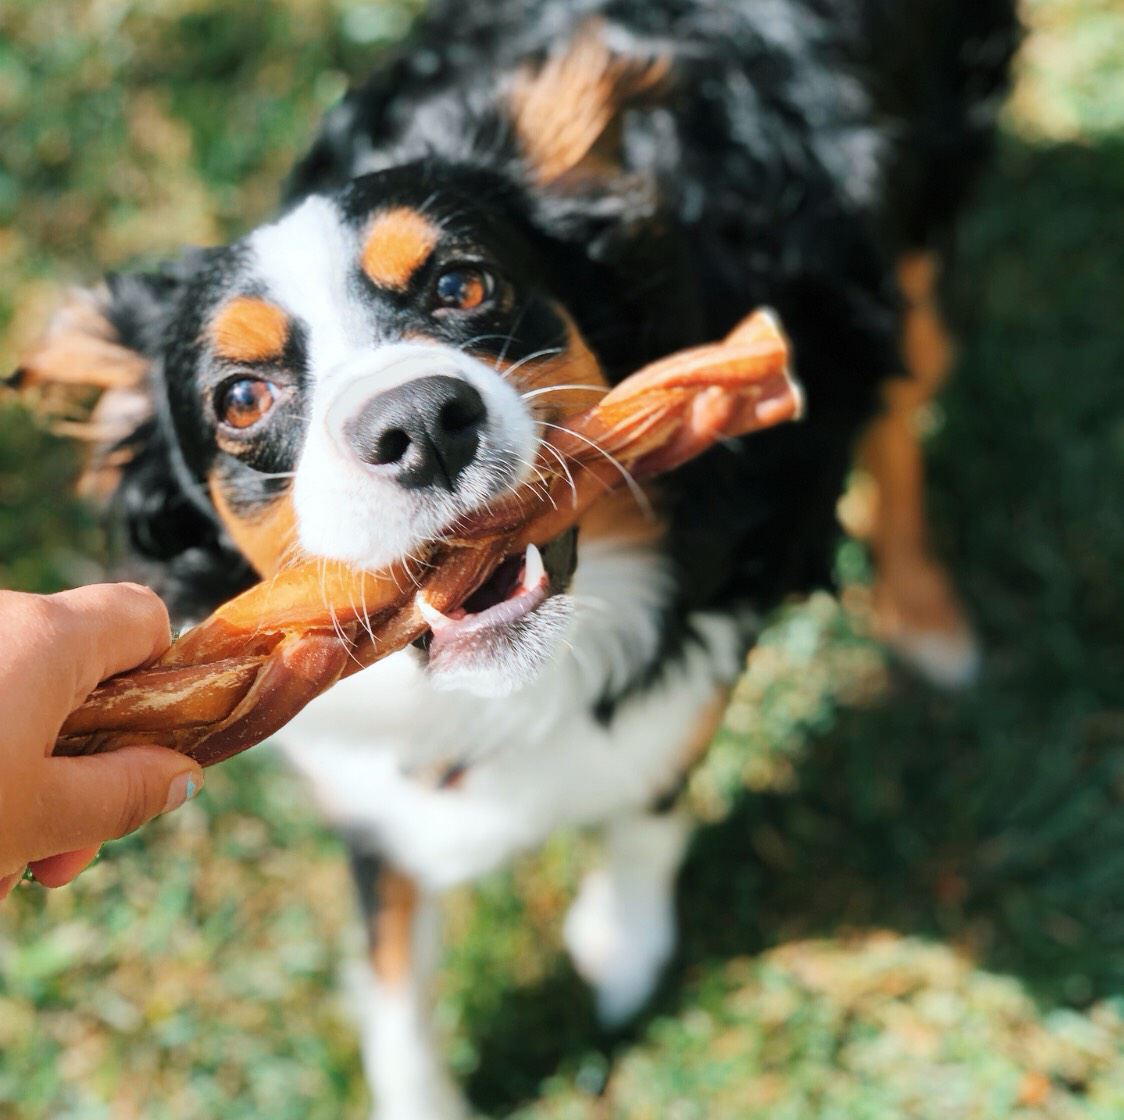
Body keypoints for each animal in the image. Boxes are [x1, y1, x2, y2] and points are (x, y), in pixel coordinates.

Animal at [17, 4, 1020, 1115]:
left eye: (464, 282)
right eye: (240, 397)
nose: (419, 423)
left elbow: (650, 795)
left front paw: (623, 945)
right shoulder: (370, 795)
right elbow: (395, 971)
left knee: (901, 411)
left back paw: (925, 616)